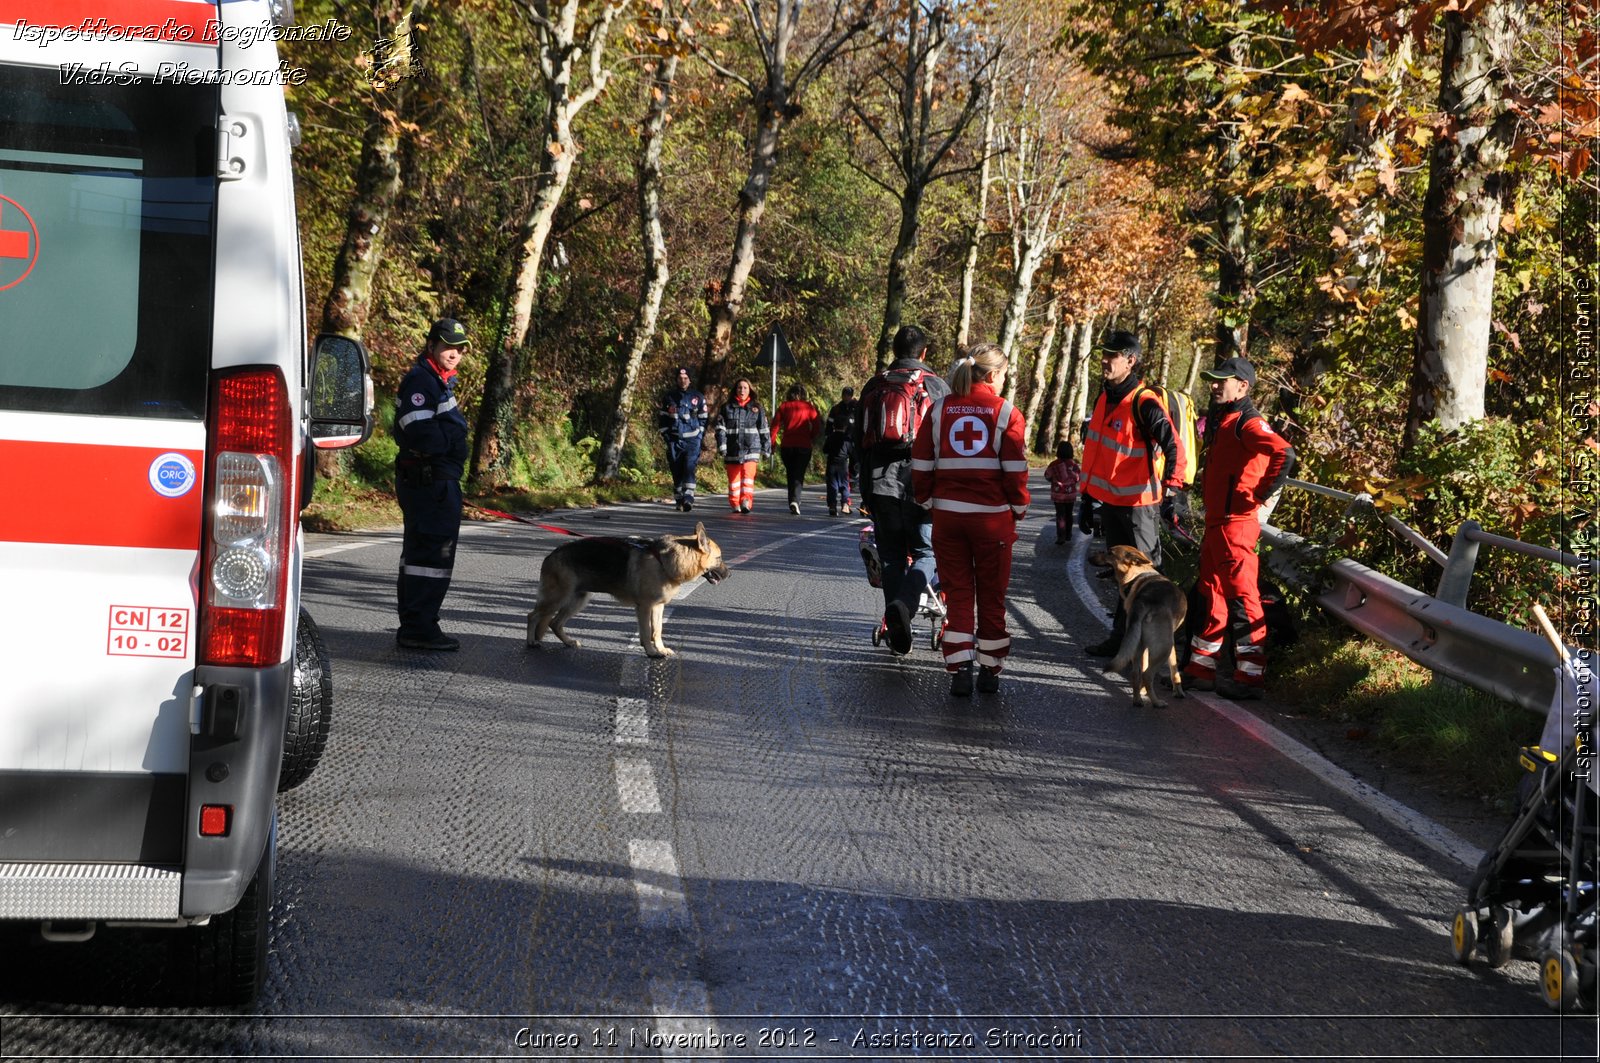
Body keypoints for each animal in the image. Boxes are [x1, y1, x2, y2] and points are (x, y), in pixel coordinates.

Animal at [524, 521, 732, 656]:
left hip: (577, 600)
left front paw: (660, 649)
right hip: (557, 599)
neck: (665, 560)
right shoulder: (644, 607)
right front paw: (651, 652)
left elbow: (657, 630)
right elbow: (647, 632)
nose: (730, 575)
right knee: (533, 616)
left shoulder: (658, 607)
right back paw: (531, 641)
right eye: (719, 558)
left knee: (554, 623)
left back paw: (568, 642)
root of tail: (550, 555)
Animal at [1088, 547, 1190, 704]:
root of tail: (1145, 601)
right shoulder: (1169, 644)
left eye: (1109, 553)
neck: (1137, 575)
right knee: (1147, 674)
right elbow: (1174, 670)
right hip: (1164, 647)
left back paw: (1138, 700)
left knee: (1136, 673)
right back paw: (1156, 702)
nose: (1089, 558)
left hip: (1138, 643)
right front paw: (1178, 690)